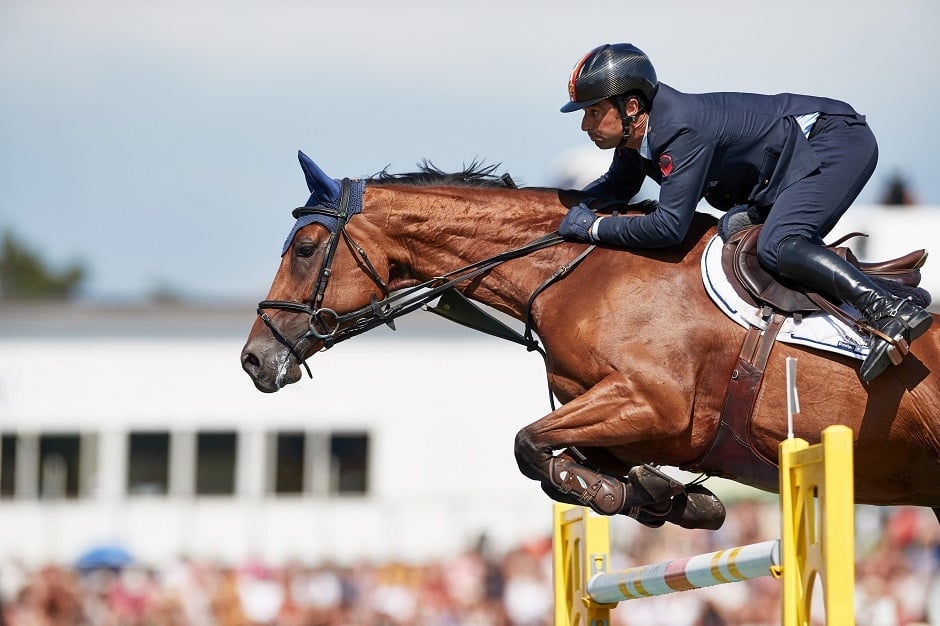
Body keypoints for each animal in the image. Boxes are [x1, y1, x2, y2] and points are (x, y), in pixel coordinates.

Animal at [242, 150, 940, 528]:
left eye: (305, 249)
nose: (254, 359)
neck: (576, 273)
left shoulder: (652, 402)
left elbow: (528, 444)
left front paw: (620, 494)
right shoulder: (623, 419)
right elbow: (559, 456)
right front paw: (668, 498)